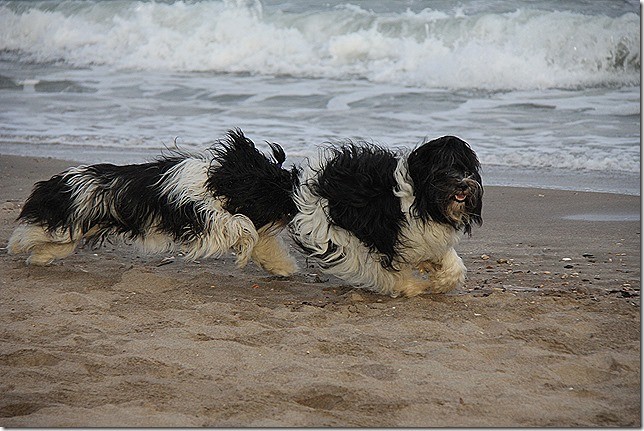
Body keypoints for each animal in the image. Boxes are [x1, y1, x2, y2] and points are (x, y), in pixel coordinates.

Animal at [8, 129, 300, 276]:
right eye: (274, 192)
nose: (292, 210)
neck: (218, 184)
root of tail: (59, 181)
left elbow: (260, 239)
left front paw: (282, 267)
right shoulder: (201, 218)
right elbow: (241, 226)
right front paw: (244, 250)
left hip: (81, 226)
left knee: (58, 243)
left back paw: (39, 257)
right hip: (70, 218)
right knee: (36, 229)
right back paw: (17, 245)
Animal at [290, 137, 480, 298]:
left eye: (465, 169)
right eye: (444, 170)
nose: (463, 184)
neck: (421, 200)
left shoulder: (428, 237)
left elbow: (452, 264)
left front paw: (440, 280)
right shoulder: (385, 235)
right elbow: (387, 269)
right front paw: (412, 286)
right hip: (331, 231)